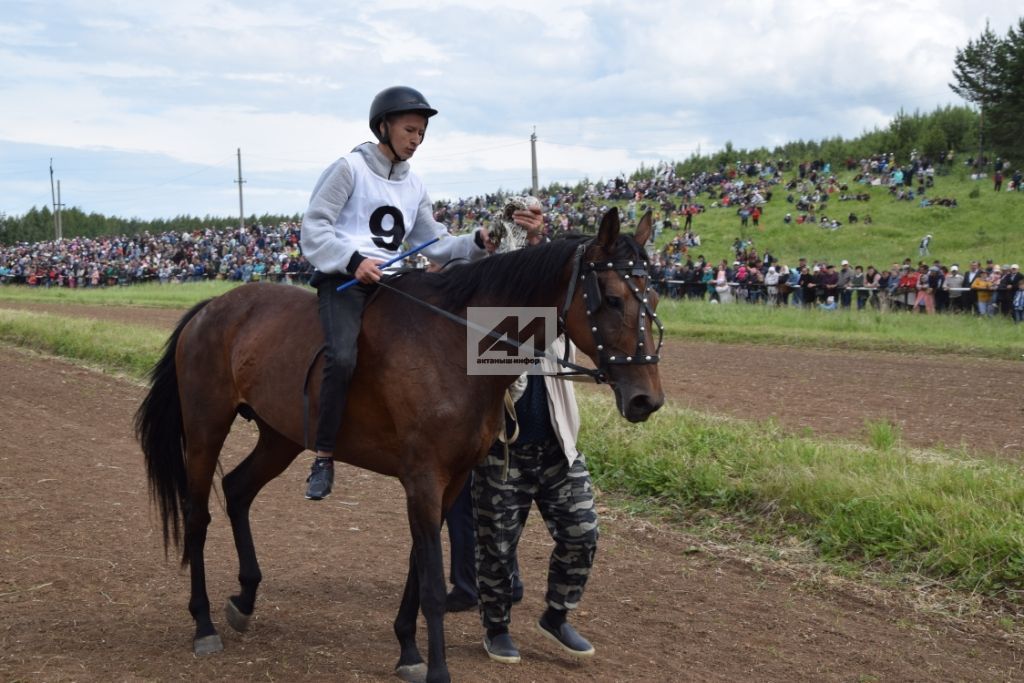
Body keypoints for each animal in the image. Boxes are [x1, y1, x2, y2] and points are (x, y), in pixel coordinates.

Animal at [136, 208, 663, 683]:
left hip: (279, 436)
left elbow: (417, 567)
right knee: (198, 515)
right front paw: (437, 670)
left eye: (654, 295)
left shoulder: (449, 481)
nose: (647, 399)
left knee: (238, 489)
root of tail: (212, 305)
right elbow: (430, 583)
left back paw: (245, 600)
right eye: (613, 298)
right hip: (206, 427)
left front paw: (408, 650)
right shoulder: (424, 478)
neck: (451, 343)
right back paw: (203, 622)